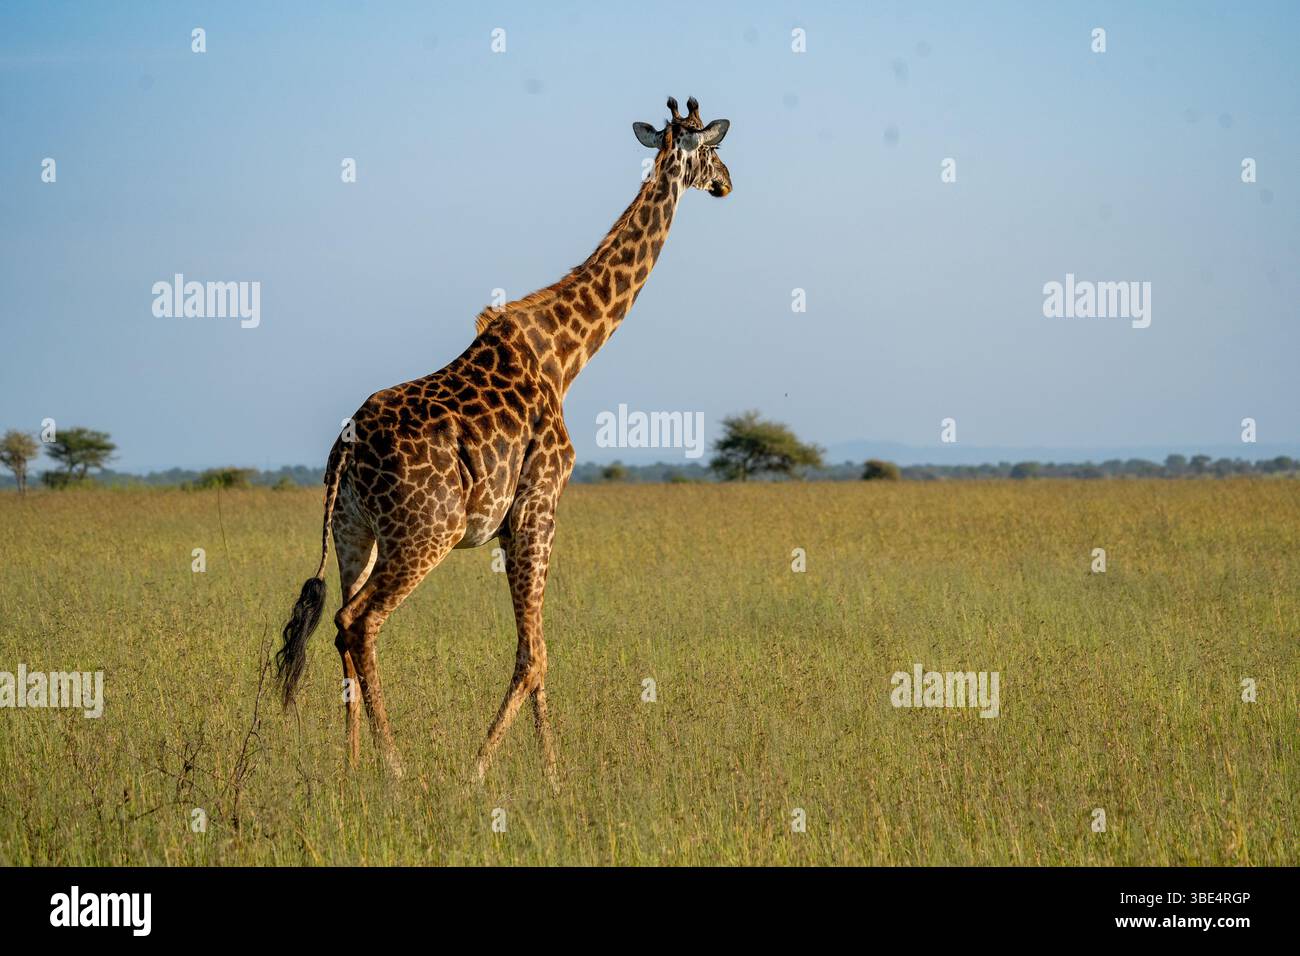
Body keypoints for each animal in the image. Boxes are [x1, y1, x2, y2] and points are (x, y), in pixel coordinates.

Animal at [275, 97, 731, 783]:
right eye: (711, 147)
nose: (728, 182)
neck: (568, 354)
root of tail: (344, 449)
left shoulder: (513, 521)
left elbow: (535, 652)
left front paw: (547, 773)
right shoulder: (540, 504)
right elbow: (534, 654)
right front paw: (494, 772)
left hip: (357, 535)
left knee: (337, 623)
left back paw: (352, 768)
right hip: (424, 534)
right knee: (358, 623)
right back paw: (396, 771)